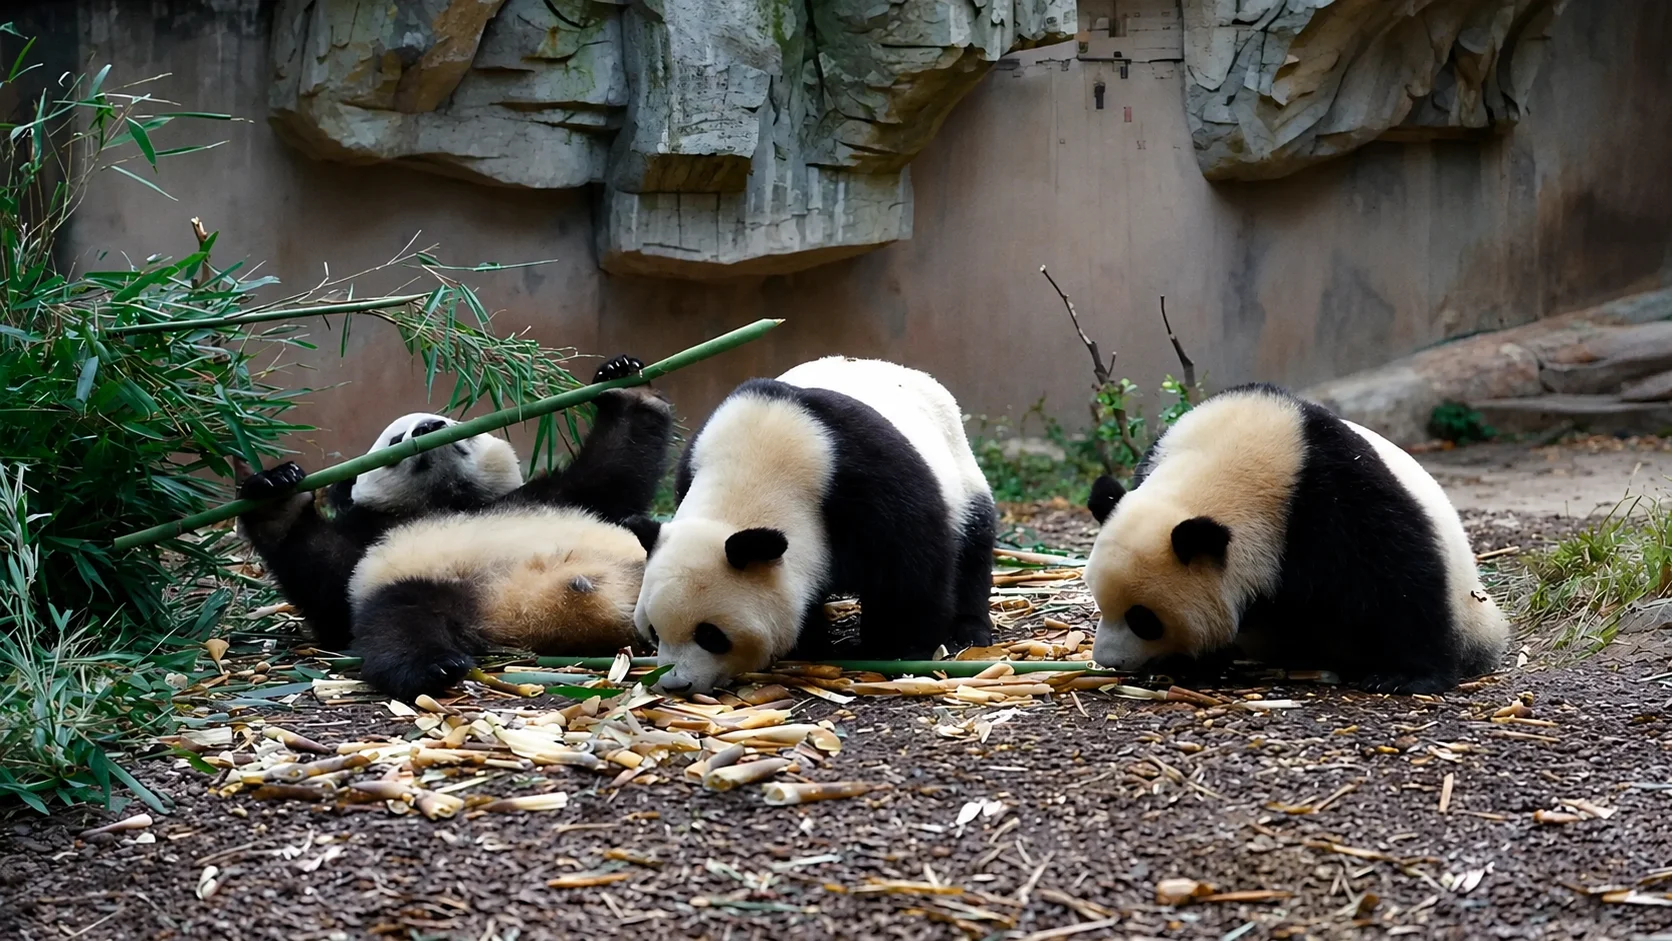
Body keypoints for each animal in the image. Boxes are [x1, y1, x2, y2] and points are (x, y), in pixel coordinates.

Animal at [236, 355, 675, 699]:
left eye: (445, 419)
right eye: (396, 439)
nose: (428, 429)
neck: (447, 501)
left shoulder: (552, 497)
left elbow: (613, 473)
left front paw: (626, 382)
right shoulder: (372, 539)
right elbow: (326, 583)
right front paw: (276, 495)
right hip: (432, 587)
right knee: (398, 622)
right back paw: (436, 667)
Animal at [625, 356, 997, 695]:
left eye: (709, 634)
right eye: (653, 631)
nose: (675, 684)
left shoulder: (866, 480)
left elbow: (910, 567)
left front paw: (900, 648)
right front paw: (813, 644)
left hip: (960, 467)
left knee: (973, 545)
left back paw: (970, 630)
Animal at [1081, 382, 1509, 694]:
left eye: (1143, 619)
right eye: (1100, 602)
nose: (1109, 660)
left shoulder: (1333, 498)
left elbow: (1397, 578)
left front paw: (1405, 676)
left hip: (1472, 609)